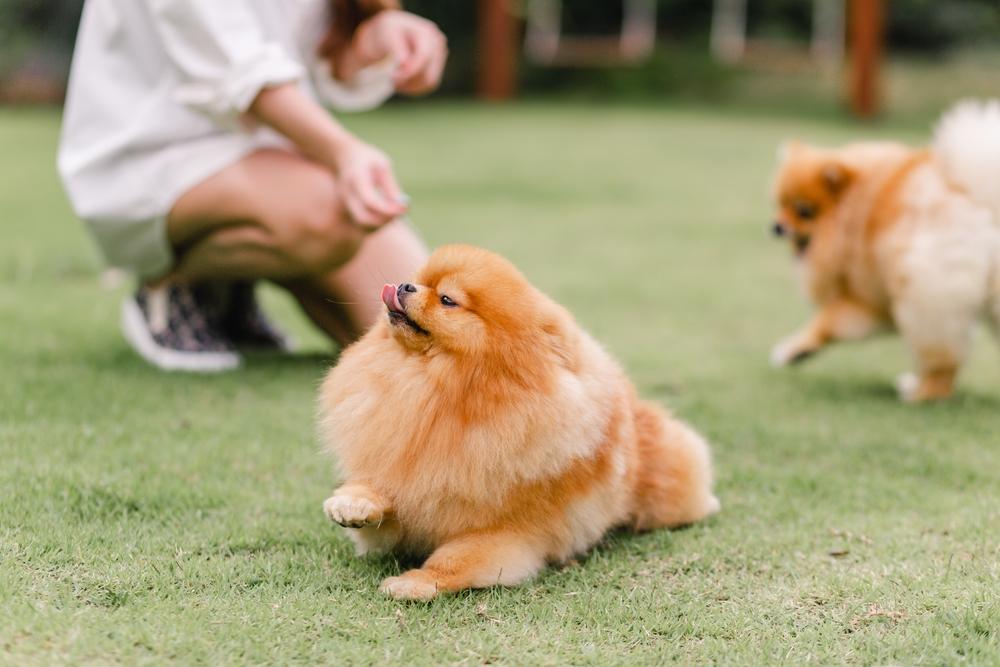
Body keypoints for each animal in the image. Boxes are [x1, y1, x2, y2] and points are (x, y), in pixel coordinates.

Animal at [318, 244, 720, 600]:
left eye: (447, 300)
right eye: (419, 282)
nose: (403, 286)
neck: (440, 392)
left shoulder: (503, 532)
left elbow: (453, 559)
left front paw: (416, 582)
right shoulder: (409, 489)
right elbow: (382, 500)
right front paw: (353, 503)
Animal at [768, 99, 1000, 402]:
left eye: (804, 211)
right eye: (779, 204)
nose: (776, 226)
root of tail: (984, 201)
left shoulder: (865, 295)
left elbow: (825, 320)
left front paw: (792, 349)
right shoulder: (879, 306)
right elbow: (829, 324)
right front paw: (795, 351)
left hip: (927, 301)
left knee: (942, 365)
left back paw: (919, 392)